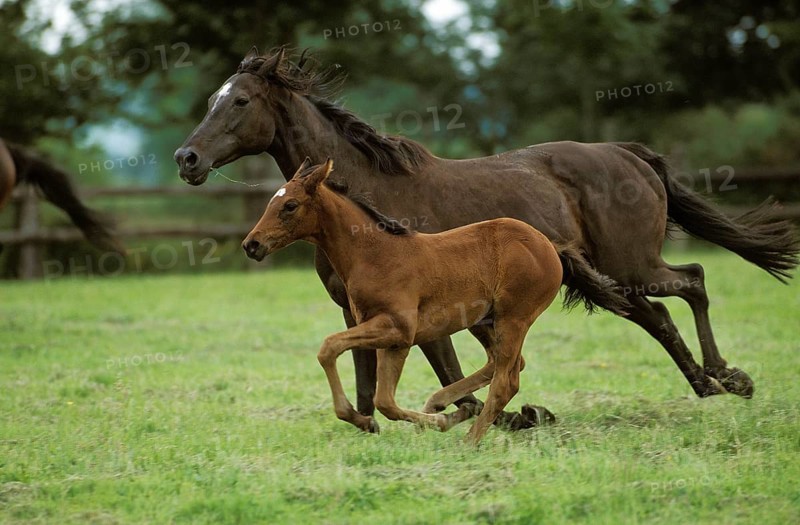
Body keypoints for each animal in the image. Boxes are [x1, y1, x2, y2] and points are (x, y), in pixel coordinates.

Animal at [243, 158, 622, 443]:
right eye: (271, 202)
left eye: (290, 205)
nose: (252, 244)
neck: (374, 253)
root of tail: (551, 246)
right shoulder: (391, 339)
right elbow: (382, 398)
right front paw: (374, 419)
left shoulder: (398, 329)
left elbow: (332, 350)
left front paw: (371, 418)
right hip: (484, 320)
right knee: (505, 364)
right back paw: (443, 405)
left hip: (514, 318)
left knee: (506, 380)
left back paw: (469, 440)